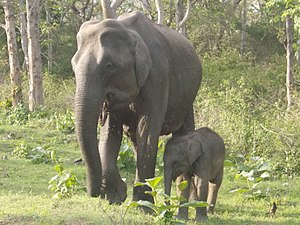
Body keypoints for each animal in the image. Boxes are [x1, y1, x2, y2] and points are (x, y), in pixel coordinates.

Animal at [71, 11, 202, 204]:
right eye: (73, 65)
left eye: (109, 66)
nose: (94, 193)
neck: (128, 31)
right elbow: (110, 133)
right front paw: (114, 197)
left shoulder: (158, 77)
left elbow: (146, 133)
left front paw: (142, 205)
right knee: (134, 140)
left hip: (188, 98)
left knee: (184, 133)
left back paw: (185, 199)